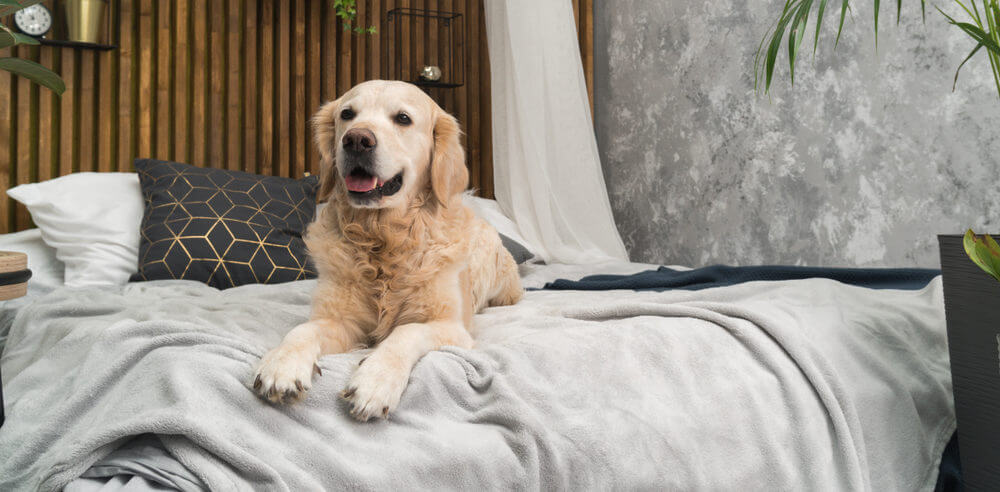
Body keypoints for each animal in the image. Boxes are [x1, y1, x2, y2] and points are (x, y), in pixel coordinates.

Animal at [250, 80, 524, 418]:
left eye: (403, 118)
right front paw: (282, 364)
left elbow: (405, 333)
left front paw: (375, 379)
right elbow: (302, 330)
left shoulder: (451, 328)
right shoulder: (343, 321)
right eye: (347, 114)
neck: (383, 239)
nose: (356, 140)